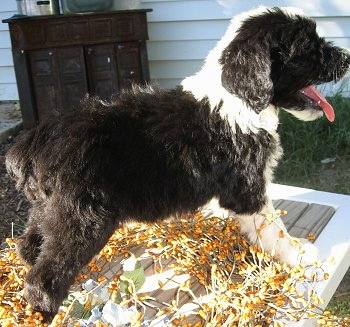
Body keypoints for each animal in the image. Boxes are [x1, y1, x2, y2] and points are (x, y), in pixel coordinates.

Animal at [5, 6, 350, 320]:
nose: (346, 58)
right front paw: (298, 253)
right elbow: (273, 226)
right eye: (309, 47)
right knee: (44, 278)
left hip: (49, 209)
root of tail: (34, 142)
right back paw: (50, 309)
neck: (237, 98)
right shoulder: (249, 188)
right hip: (81, 219)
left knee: (29, 243)